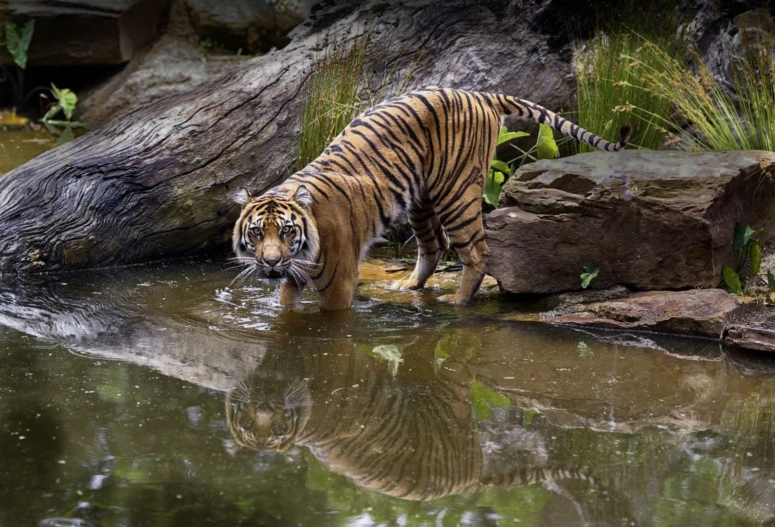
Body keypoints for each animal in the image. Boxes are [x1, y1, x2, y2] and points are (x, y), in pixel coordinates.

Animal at [232, 86, 632, 310]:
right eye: (256, 233)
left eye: (287, 231)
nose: (270, 262)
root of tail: (480, 94)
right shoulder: (292, 278)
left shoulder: (339, 282)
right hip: (420, 199)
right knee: (434, 245)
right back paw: (409, 285)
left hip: (456, 193)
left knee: (476, 252)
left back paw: (459, 303)